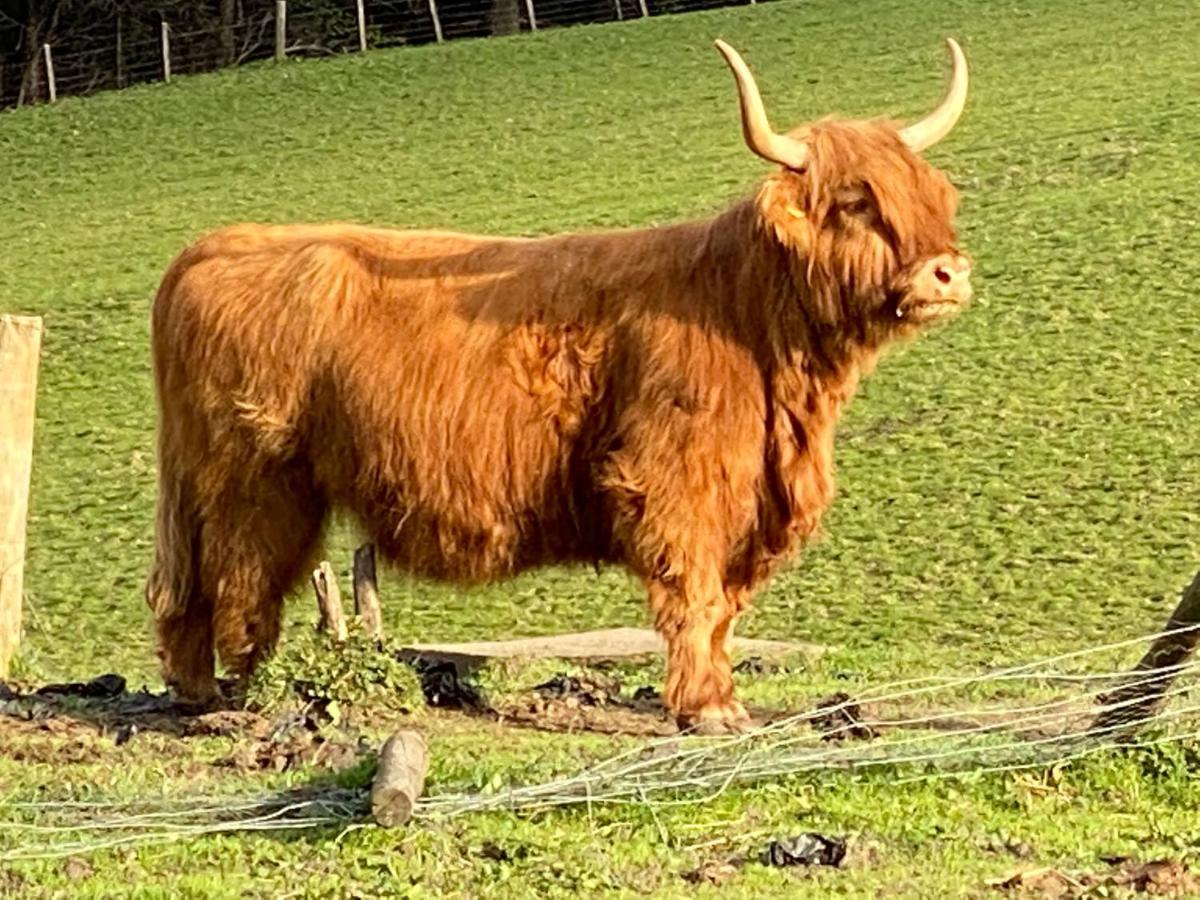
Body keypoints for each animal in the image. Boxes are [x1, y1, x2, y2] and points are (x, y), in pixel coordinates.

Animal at [147, 40, 974, 734]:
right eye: (856, 202)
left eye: (932, 196)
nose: (948, 272)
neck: (746, 315)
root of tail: (214, 245)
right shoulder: (675, 482)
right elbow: (696, 594)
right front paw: (705, 708)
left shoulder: (747, 501)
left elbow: (726, 610)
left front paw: (724, 698)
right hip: (256, 479)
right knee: (240, 578)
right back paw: (246, 692)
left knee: (186, 583)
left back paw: (194, 688)